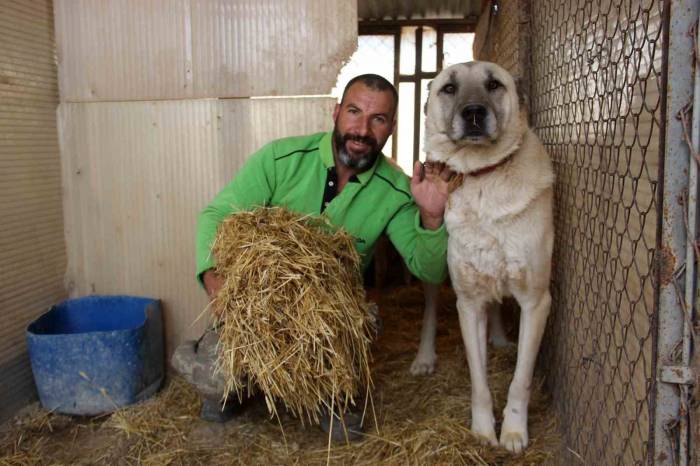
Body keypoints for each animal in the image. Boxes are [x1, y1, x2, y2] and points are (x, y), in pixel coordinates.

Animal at [412, 62, 556, 452]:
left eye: (493, 84)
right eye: (449, 88)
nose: (473, 113)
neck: (484, 179)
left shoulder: (536, 302)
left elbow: (520, 380)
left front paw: (514, 432)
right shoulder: (468, 303)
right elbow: (479, 382)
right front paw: (481, 433)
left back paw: (501, 339)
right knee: (429, 311)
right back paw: (424, 357)